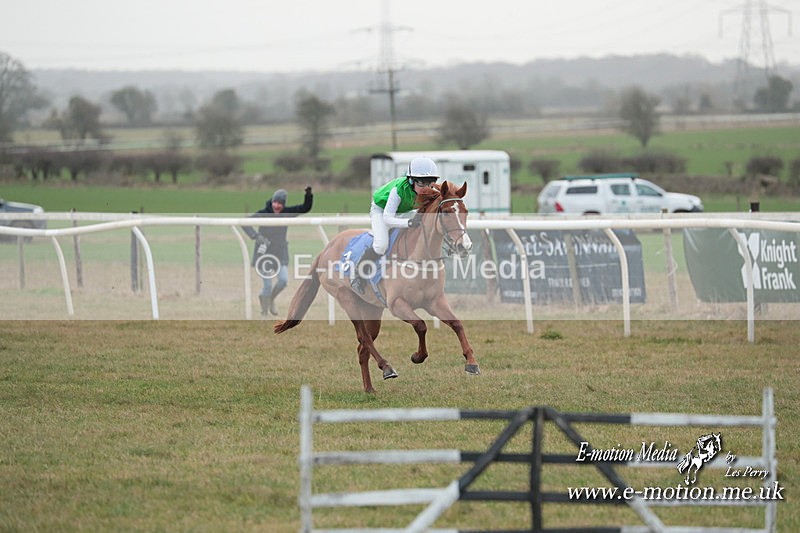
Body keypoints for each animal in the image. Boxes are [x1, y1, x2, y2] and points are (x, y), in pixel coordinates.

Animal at [274, 181, 480, 393]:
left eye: (465, 211)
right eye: (446, 212)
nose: (465, 246)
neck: (419, 259)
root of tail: (326, 248)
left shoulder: (435, 302)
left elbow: (457, 324)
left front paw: (471, 362)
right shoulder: (397, 304)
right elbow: (421, 325)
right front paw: (417, 356)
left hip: (371, 309)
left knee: (362, 348)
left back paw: (369, 388)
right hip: (346, 298)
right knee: (364, 338)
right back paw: (387, 367)